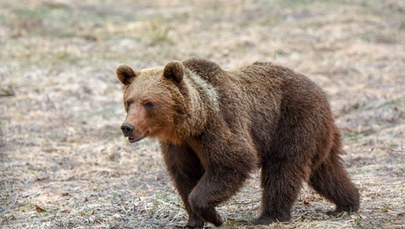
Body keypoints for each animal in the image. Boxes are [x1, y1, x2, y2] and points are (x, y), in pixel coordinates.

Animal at [116, 57, 360, 227]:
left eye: (148, 103)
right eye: (129, 101)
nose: (127, 127)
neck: (193, 123)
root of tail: (320, 91)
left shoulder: (219, 125)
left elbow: (233, 160)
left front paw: (214, 217)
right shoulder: (180, 146)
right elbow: (185, 176)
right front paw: (193, 221)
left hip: (292, 121)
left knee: (283, 169)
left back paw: (269, 216)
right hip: (318, 134)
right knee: (326, 169)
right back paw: (347, 204)